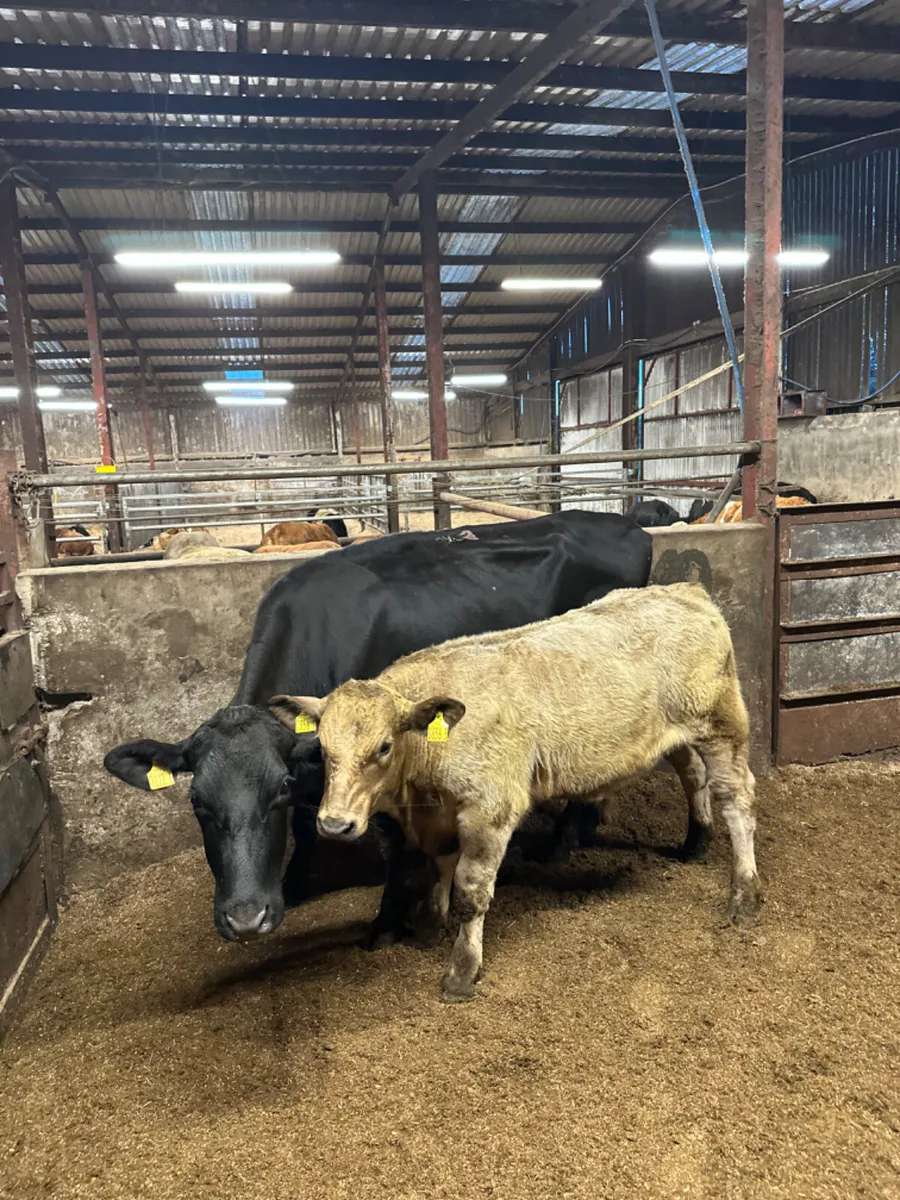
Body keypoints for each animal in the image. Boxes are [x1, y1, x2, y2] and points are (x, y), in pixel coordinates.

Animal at [103, 511, 652, 945]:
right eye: (198, 802)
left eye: (276, 791)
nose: (245, 919)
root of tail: (624, 523)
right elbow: (307, 825)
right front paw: (296, 883)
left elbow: (393, 844)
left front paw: (386, 924)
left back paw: (562, 840)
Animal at [269, 583, 761, 1001]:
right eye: (322, 746)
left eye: (384, 746)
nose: (335, 823)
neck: (422, 787)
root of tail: (685, 590)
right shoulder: (439, 817)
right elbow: (437, 868)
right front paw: (429, 925)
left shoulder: (490, 809)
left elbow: (471, 890)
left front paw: (462, 970)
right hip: (675, 735)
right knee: (693, 775)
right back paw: (694, 842)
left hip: (722, 724)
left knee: (736, 800)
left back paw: (744, 894)